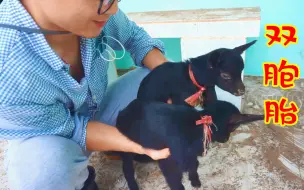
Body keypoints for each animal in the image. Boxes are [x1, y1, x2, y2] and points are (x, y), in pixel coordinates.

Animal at [116, 99, 264, 190]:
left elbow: (194, 165)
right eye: (233, 128)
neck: (200, 124)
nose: (226, 139)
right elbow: (175, 178)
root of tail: (123, 110)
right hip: (128, 147)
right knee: (127, 168)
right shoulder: (168, 159)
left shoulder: (190, 154)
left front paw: (195, 180)